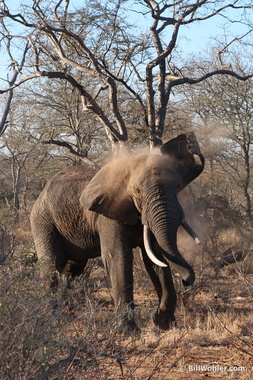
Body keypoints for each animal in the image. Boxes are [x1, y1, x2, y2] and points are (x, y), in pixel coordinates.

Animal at [30, 132, 204, 332]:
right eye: (137, 191)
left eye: (176, 187)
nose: (186, 281)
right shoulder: (109, 217)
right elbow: (118, 257)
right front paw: (129, 331)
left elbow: (155, 258)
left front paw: (163, 324)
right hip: (42, 220)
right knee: (51, 265)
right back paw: (51, 321)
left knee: (72, 269)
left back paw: (66, 317)